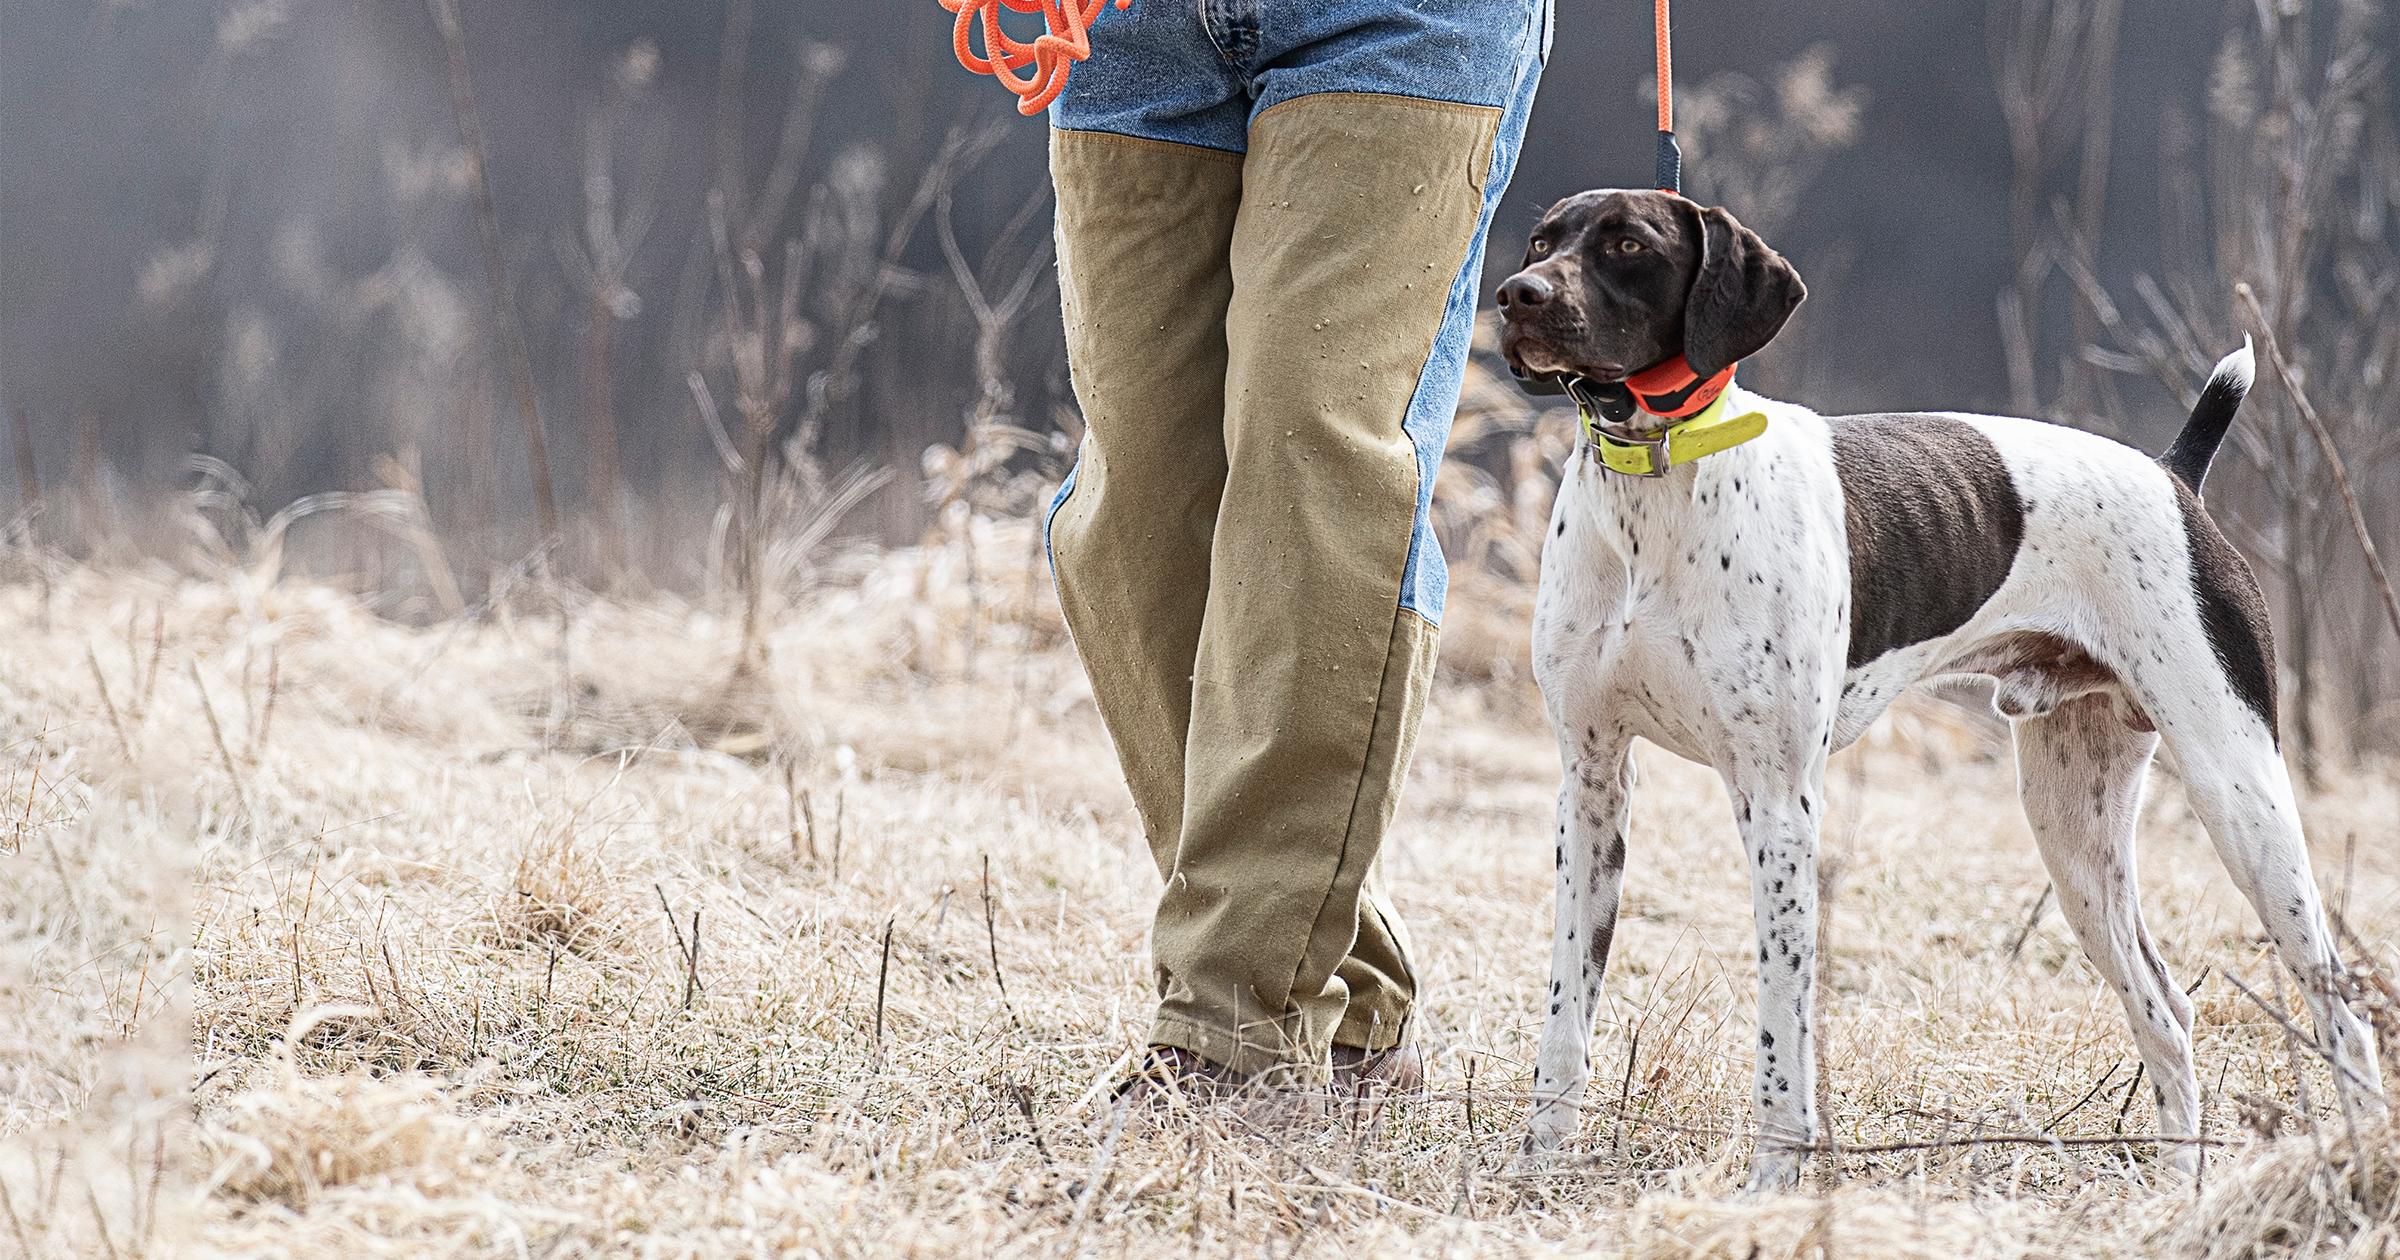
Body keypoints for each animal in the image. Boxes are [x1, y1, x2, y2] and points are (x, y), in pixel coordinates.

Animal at [1497, 189, 2380, 1190]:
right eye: (1541, 241)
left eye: (1625, 245)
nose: (1516, 296)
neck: (1660, 481)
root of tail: (2171, 475)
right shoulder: (1592, 786)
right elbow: (1566, 1014)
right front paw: (1536, 1169)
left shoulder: (1778, 805)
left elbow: (1782, 1036)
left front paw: (1770, 1189)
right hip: (2075, 836)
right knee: (2166, 1012)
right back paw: (2180, 1188)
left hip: (2241, 796)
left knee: (2341, 1013)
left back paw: (2352, 1163)